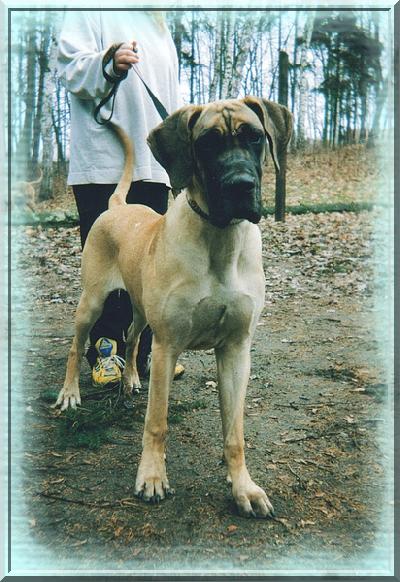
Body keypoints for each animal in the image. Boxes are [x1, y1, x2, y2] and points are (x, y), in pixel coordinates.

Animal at [54, 97, 292, 518]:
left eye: (254, 136)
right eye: (207, 143)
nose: (240, 185)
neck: (220, 238)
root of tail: (117, 205)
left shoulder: (236, 350)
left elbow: (235, 431)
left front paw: (243, 486)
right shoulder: (167, 347)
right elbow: (157, 422)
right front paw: (151, 477)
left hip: (140, 310)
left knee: (132, 337)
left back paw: (132, 378)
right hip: (92, 302)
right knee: (76, 346)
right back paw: (70, 394)